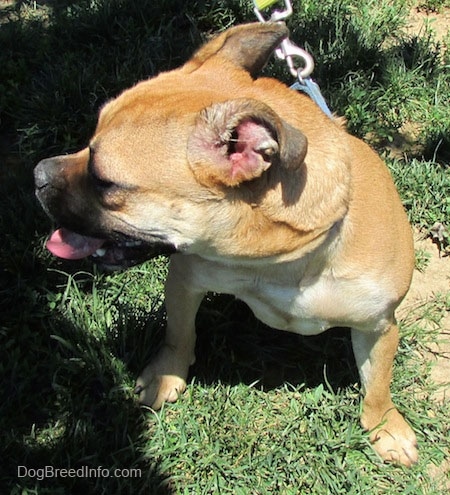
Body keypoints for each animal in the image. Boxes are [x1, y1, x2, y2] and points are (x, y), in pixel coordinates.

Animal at [35, 22, 418, 464]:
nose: (38, 174)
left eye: (104, 181)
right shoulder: (186, 279)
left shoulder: (379, 326)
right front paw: (166, 374)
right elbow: (178, 334)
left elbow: (378, 384)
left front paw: (384, 424)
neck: (284, 264)